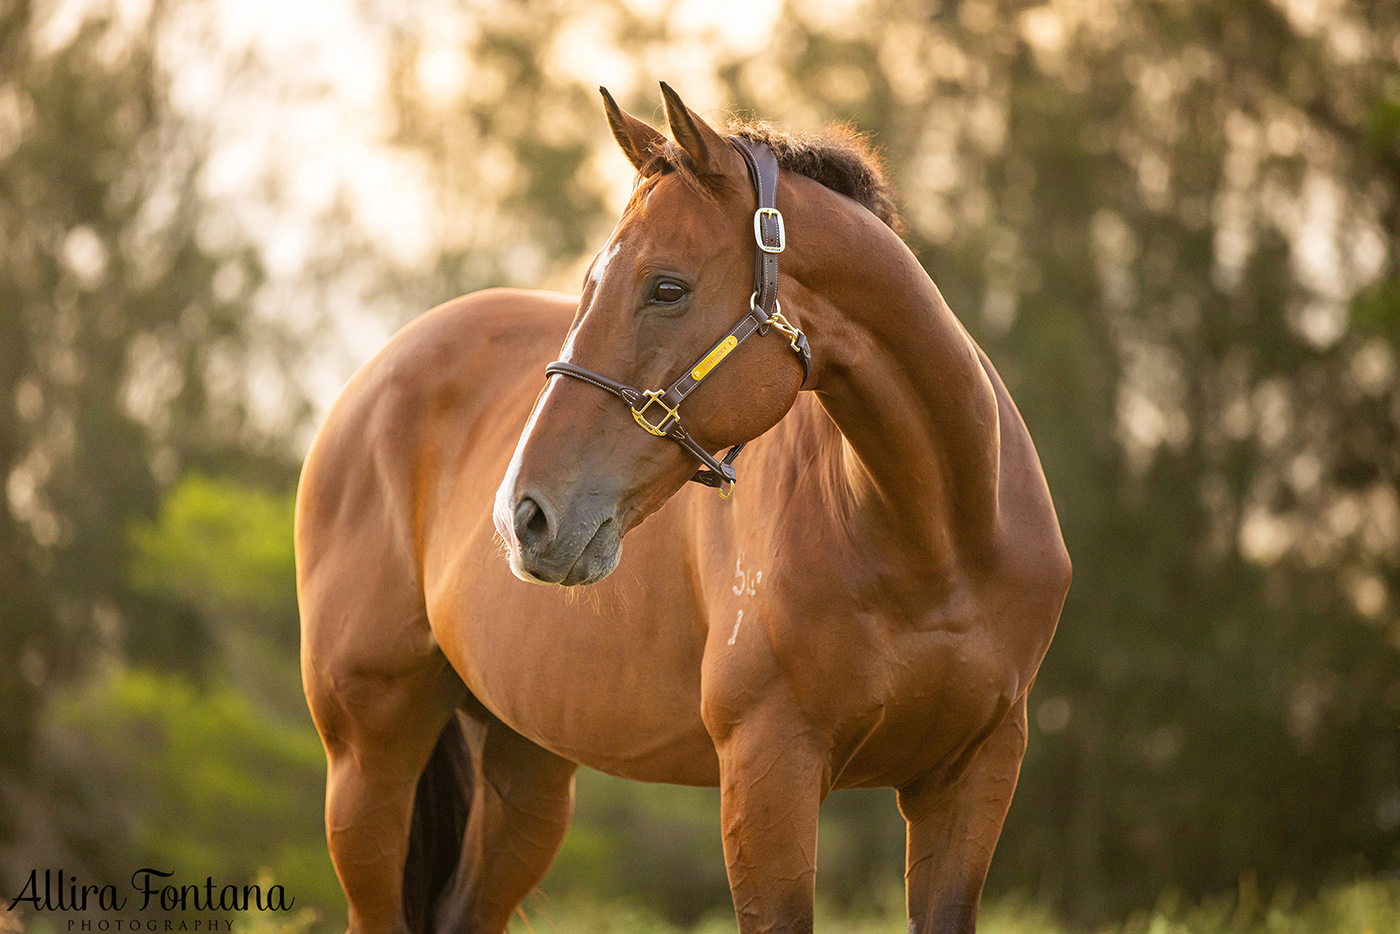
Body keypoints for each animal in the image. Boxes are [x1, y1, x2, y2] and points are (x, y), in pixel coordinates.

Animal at [298, 82, 1069, 934]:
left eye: (666, 288)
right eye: (589, 285)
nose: (523, 517)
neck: (933, 544)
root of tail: (366, 384)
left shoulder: (972, 776)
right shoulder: (768, 771)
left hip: (525, 767)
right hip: (368, 757)